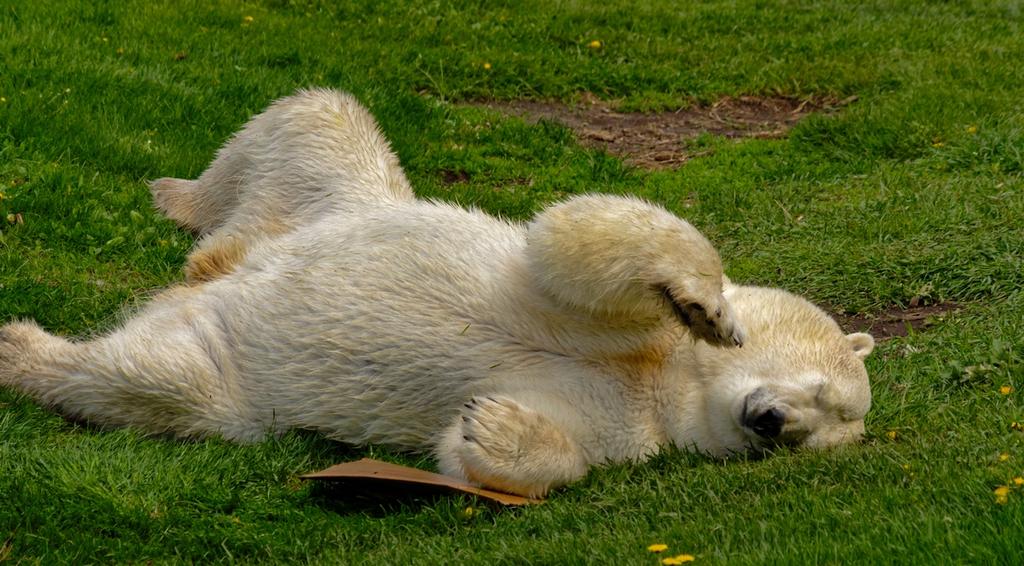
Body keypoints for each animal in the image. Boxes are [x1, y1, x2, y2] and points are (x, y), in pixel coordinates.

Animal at [0, 88, 875, 498]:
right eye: (822, 391)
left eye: (824, 429)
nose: (773, 424)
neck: (662, 380)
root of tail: (212, 276)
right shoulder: (591, 313)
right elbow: (577, 240)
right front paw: (707, 305)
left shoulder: (629, 426)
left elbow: (515, 447)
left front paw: (496, 428)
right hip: (333, 193)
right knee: (314, 115)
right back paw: (173, 198)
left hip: (222, 362)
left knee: (151, 382)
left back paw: (27, 350)